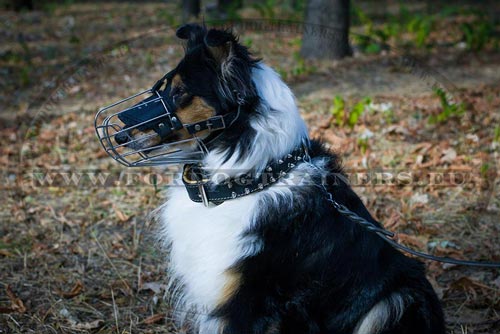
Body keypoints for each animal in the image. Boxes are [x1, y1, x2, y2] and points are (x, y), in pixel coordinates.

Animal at [107, 24, 444, 334]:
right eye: (161, 88)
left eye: (179, 92)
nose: (118, 134)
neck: (247, 181)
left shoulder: (247, 303)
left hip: (397, 299)